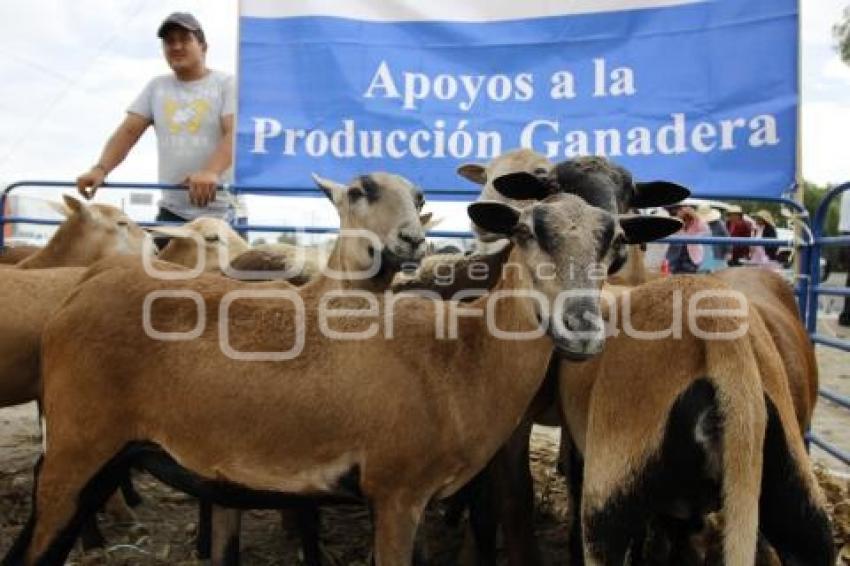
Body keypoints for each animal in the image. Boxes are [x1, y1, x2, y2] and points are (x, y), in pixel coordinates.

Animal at [0, 189, 668, 564]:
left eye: (614, 242)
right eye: (526, 232)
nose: (582, 329)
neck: (462, 358)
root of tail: (77, 294)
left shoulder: (417, 498)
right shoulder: (395, 491)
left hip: (108, 452)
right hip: (81, 445)